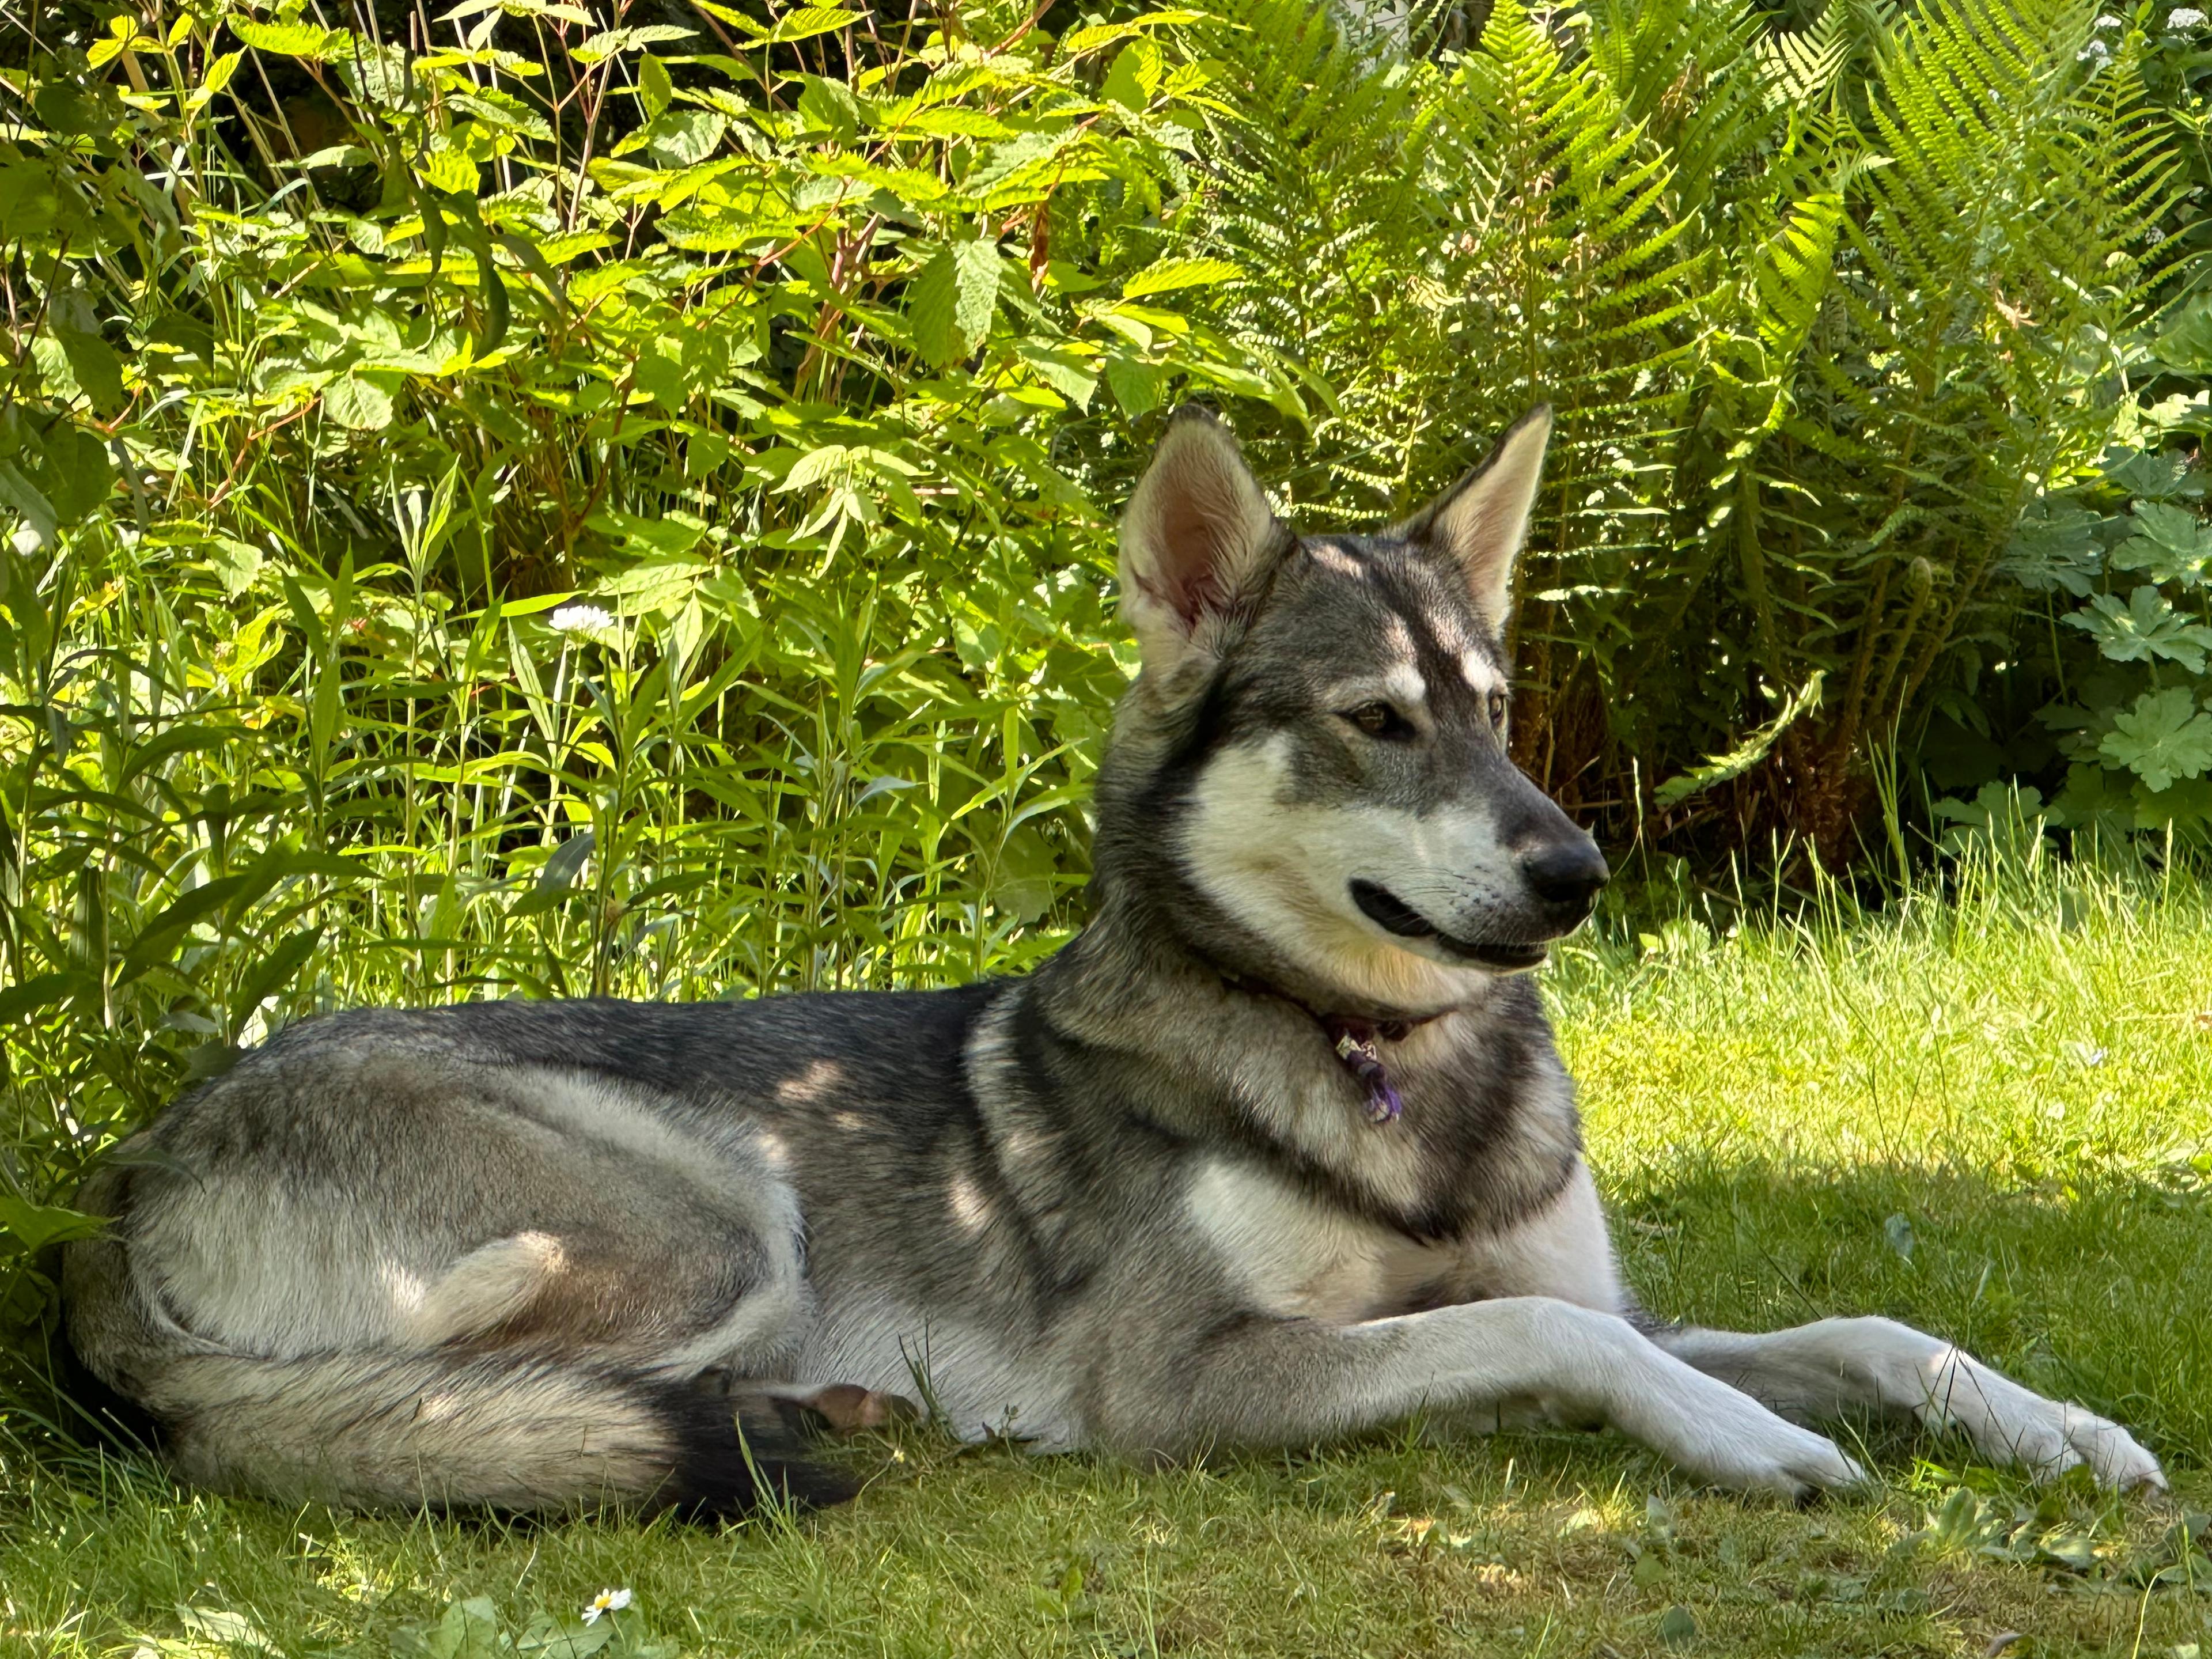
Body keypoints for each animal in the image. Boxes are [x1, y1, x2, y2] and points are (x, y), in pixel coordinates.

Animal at [60, 409, 2168, 1513]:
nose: (1575, 873)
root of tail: (130, 1176)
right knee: (414, 1410)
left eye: (1496, 711)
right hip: (718, 1221)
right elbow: (1553, 1342)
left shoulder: (1596, 1289)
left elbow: (1870, 1329)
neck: (1380, 1076)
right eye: (1379, 724)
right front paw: (1751, 1440)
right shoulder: (1195, 1385)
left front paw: (2060, 1428)